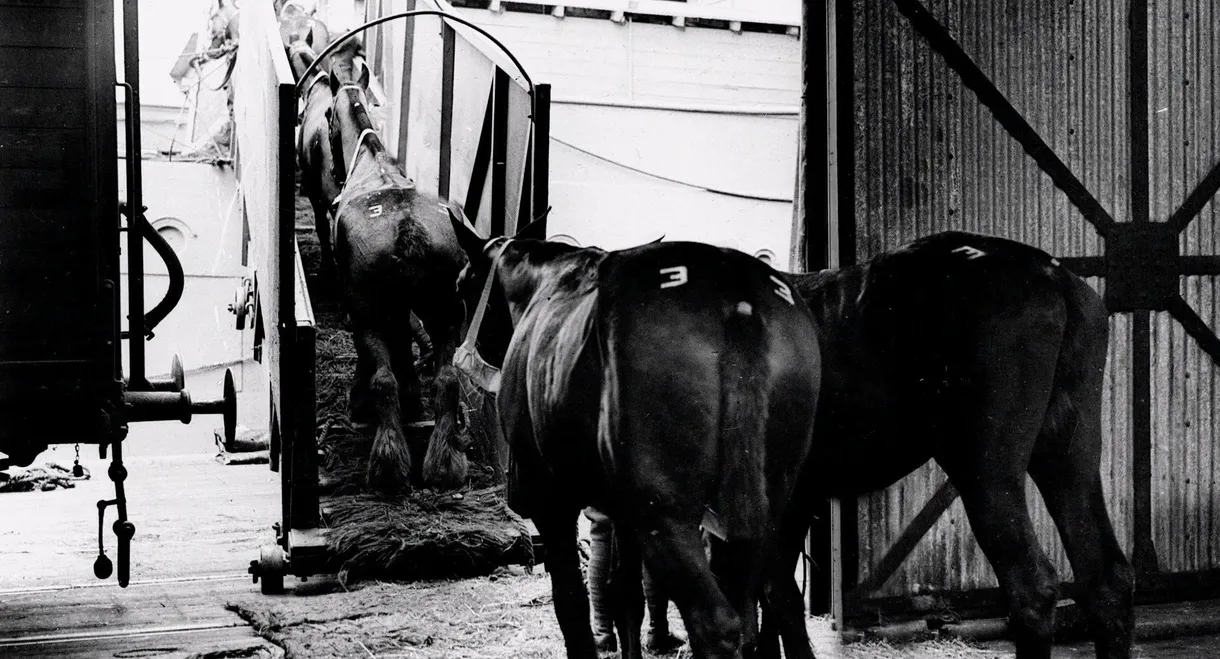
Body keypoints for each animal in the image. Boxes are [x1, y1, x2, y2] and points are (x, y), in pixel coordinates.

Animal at [327, 59, 470, 493]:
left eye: (326, 116)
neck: (372, 162)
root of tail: (408, 226)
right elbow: (406, 343)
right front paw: (413, 399)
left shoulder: (360, 305)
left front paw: (361, 401)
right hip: (447, 310)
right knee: (447, 378)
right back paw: (445, 463)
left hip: (368, 309)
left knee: (383, 378)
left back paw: (388, 464)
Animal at [447, 208, 822, 659]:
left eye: (460, 286)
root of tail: (735, 295)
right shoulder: (621, 509)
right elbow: (625, 594)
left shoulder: (550, 501)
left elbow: (570, 603)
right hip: (770, 503)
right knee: (773, 602)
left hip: (666, 512)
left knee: (717, 623)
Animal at [758, 231, 1132, 659]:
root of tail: (1052, 275)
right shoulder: (797, 497)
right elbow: (773, 597)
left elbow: (772, 594)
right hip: (1070, 450)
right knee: (1107, 578)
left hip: (984, 468)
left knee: (1031, 585)